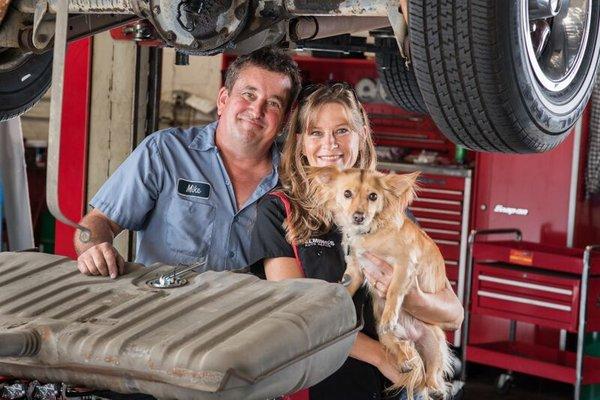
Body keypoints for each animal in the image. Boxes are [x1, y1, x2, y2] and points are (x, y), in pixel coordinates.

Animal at [310, 166, 454, 396]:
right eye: (347, 193)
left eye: (373, 196)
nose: (358, 217)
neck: (370, 233)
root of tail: (411, 337)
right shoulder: (356, 271)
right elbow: (344, 289)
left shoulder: (405, 263)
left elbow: (394, 290)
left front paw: (389, 316)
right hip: (386, 337)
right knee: (402, 350)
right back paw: (405, 361)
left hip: (435, 343)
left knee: (432, 375)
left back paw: (435, 389)